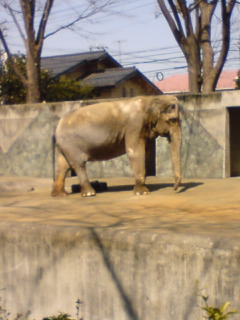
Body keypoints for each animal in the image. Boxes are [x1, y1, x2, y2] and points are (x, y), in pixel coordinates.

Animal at [51, 94, 181, 198]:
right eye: (173, 120)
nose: (173, 189)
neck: (151, 99)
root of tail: (58, 126)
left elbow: (146, 151)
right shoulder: (134, 125)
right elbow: (134, 151)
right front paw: (143, 193)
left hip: (64, 146)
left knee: (63, 165)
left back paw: (60, 195)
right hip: (71, 145)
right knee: (78, 164)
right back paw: (89, 194)